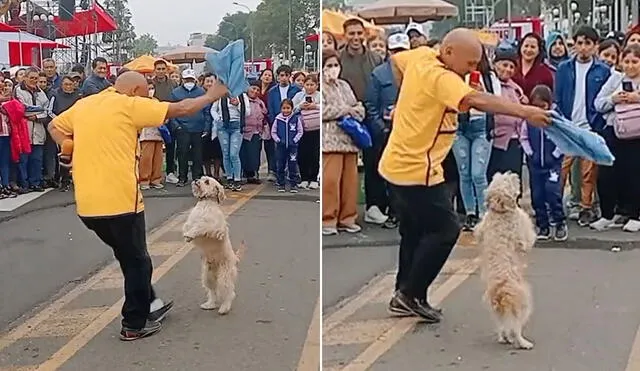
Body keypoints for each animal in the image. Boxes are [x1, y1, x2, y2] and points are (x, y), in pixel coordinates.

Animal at [185, 177, 248, 314]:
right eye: (201, 178)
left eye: (207, 182)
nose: (196, 180)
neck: (206, 203)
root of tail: (235, 259)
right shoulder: (191, 221)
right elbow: (188, 226)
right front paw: (188, 236)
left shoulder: (214, 227)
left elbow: (200, 226)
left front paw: (191, 234)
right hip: (208, 277)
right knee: (213, 291)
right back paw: (210, 304)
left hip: (224, 277)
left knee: (229, 293)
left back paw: (224, 308)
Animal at [472, 173, 536, 350]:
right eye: (507, 181)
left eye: (496, 178)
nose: (513, 174)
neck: (499, 211)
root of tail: (502, 293)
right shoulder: (523, 235)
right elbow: (528, 241)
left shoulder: (482, 228)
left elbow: (478, 232)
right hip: (523, 306)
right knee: (515, 328)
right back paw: (523, 343)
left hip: (497, 311)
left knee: (503, 327)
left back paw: (504, 337)